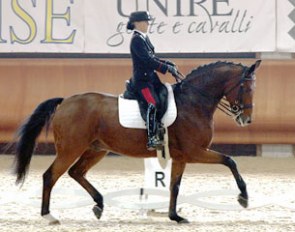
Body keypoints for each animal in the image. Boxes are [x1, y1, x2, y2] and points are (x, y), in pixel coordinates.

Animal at [12, 59, 262, 225]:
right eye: (245, 87)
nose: (246, 119)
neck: (193, 102)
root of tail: (65, 102)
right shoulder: (194, 151)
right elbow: (230, 161)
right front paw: (243, 197)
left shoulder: (181, 156)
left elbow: (174, 185)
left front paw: (175, 216)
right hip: (70, 149)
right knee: (50, 176)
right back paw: (49, 215)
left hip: (96, 149)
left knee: (76, 172)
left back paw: (99, 204)